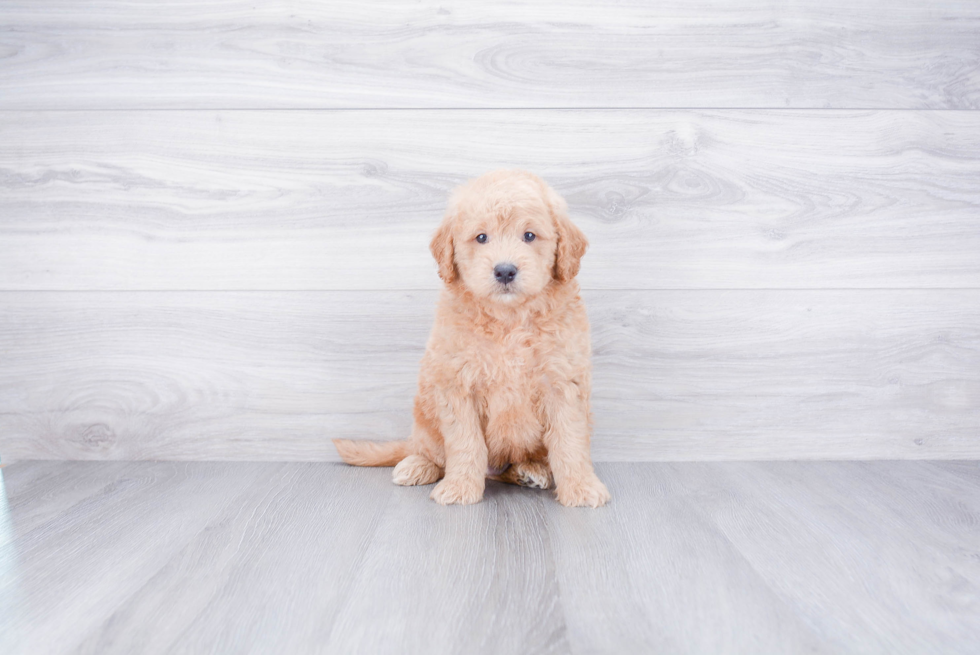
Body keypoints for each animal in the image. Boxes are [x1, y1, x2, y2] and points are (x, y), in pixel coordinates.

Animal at [340, 169, 608, 508]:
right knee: (429, 451)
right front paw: (459, 488)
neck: (509, 319)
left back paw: (531, 471)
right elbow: (465, 442)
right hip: (425, 415)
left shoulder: (563, 382)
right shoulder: (457, 384)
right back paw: (417, 465)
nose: (505, 271)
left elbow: (570, 441)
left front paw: (581, 487)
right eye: (481, 238)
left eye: (529, 236)